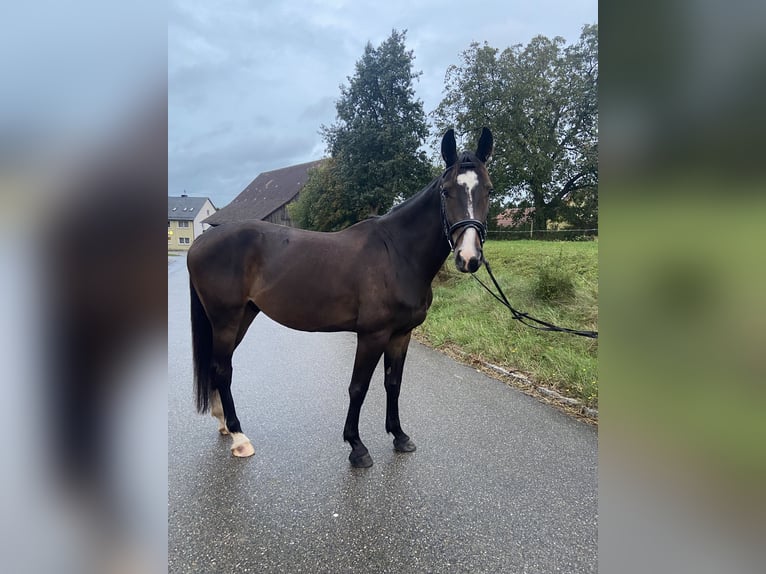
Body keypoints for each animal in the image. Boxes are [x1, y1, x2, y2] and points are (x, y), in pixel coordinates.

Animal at [189, 127, 496, 468]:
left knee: (218, 367)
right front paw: (357, 447)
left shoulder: (401, 335)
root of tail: (200, 242)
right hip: (226, 320)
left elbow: (393, 384)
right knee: (223, 370)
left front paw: (399, 436)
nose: (468, 257)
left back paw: (224, 425)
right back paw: (240, 437)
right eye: (446, 191)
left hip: (243, 316)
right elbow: (358, 388)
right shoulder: (372, 335)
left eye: (489, 190)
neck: (397, 253)